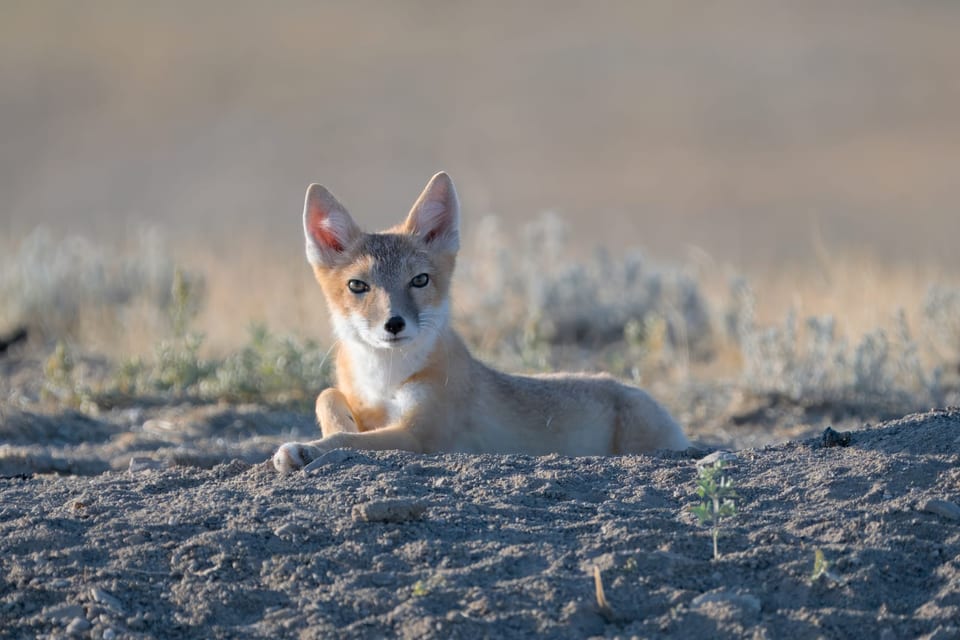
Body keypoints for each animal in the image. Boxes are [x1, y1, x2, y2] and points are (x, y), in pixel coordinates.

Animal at [272, 172, 689, 472]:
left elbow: (352, 441)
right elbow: (327, 396)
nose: (394, 324)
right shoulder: (362, 400)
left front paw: (307, 449)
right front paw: (330, 430)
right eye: (358, 286)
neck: (383, 376)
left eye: (419, 280)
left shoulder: (419, 436)